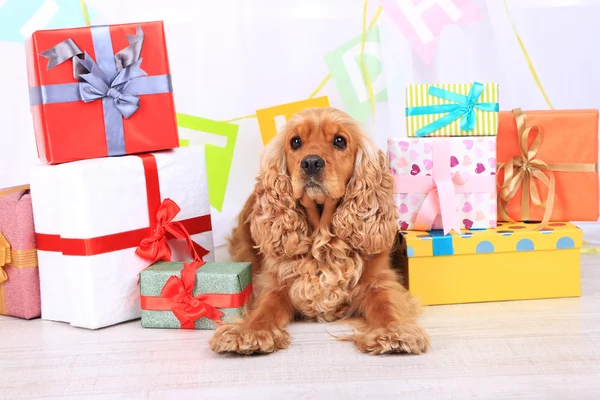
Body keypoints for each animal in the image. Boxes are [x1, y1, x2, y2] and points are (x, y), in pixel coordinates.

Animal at [209, 107, 428, 356]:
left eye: (340, 141)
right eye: (295, 142)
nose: (311, 162)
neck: (322, 238)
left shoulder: (380, 281)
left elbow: (387, 305)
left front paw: (394, 332)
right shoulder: (274, 283)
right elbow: (264, 308)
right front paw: (250, 332)